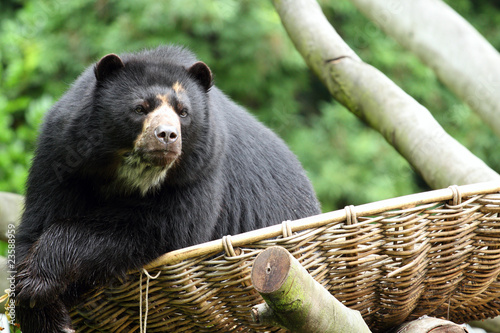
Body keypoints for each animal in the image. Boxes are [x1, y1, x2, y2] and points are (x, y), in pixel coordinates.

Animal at [15, 44, 322, 332]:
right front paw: (42, 310)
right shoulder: (62, 156)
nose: (167, 136)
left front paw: (40, 280)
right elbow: (38, 219)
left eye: (183, 112)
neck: (133, 172)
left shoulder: (200, 171)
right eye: (140, 108)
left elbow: (159, 227)